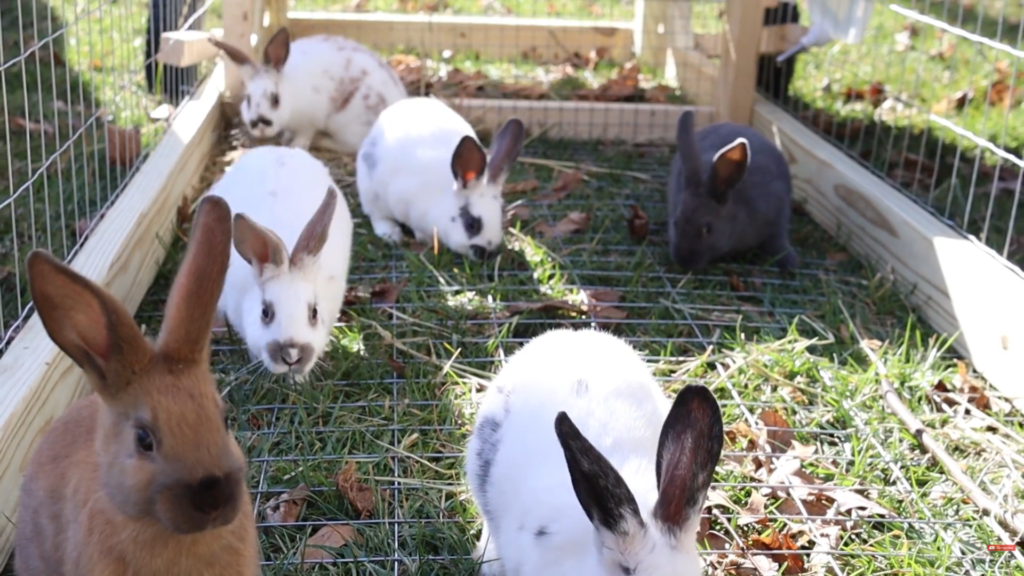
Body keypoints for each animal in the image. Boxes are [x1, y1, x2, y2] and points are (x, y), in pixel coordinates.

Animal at [210, 26, 407, 153]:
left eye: (276, 99)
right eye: (248, 99)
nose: (259, 124)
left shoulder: (310, 122)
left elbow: (305, 135)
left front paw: (294, 145)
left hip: (345, 124)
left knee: (351, 146)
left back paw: (321, 140)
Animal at [355, 96, 525, 260]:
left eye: (500, 218)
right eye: (471, 224)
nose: (487, 255)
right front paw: (424, 239)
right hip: (371, 195)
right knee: (377, 216)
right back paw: (391, 235)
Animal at [668, 110, 799, 272]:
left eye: (707, 229)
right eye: (676, 222)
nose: (683, 262)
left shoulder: (777, 215)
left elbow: (777, 241)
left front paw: (790, 262)